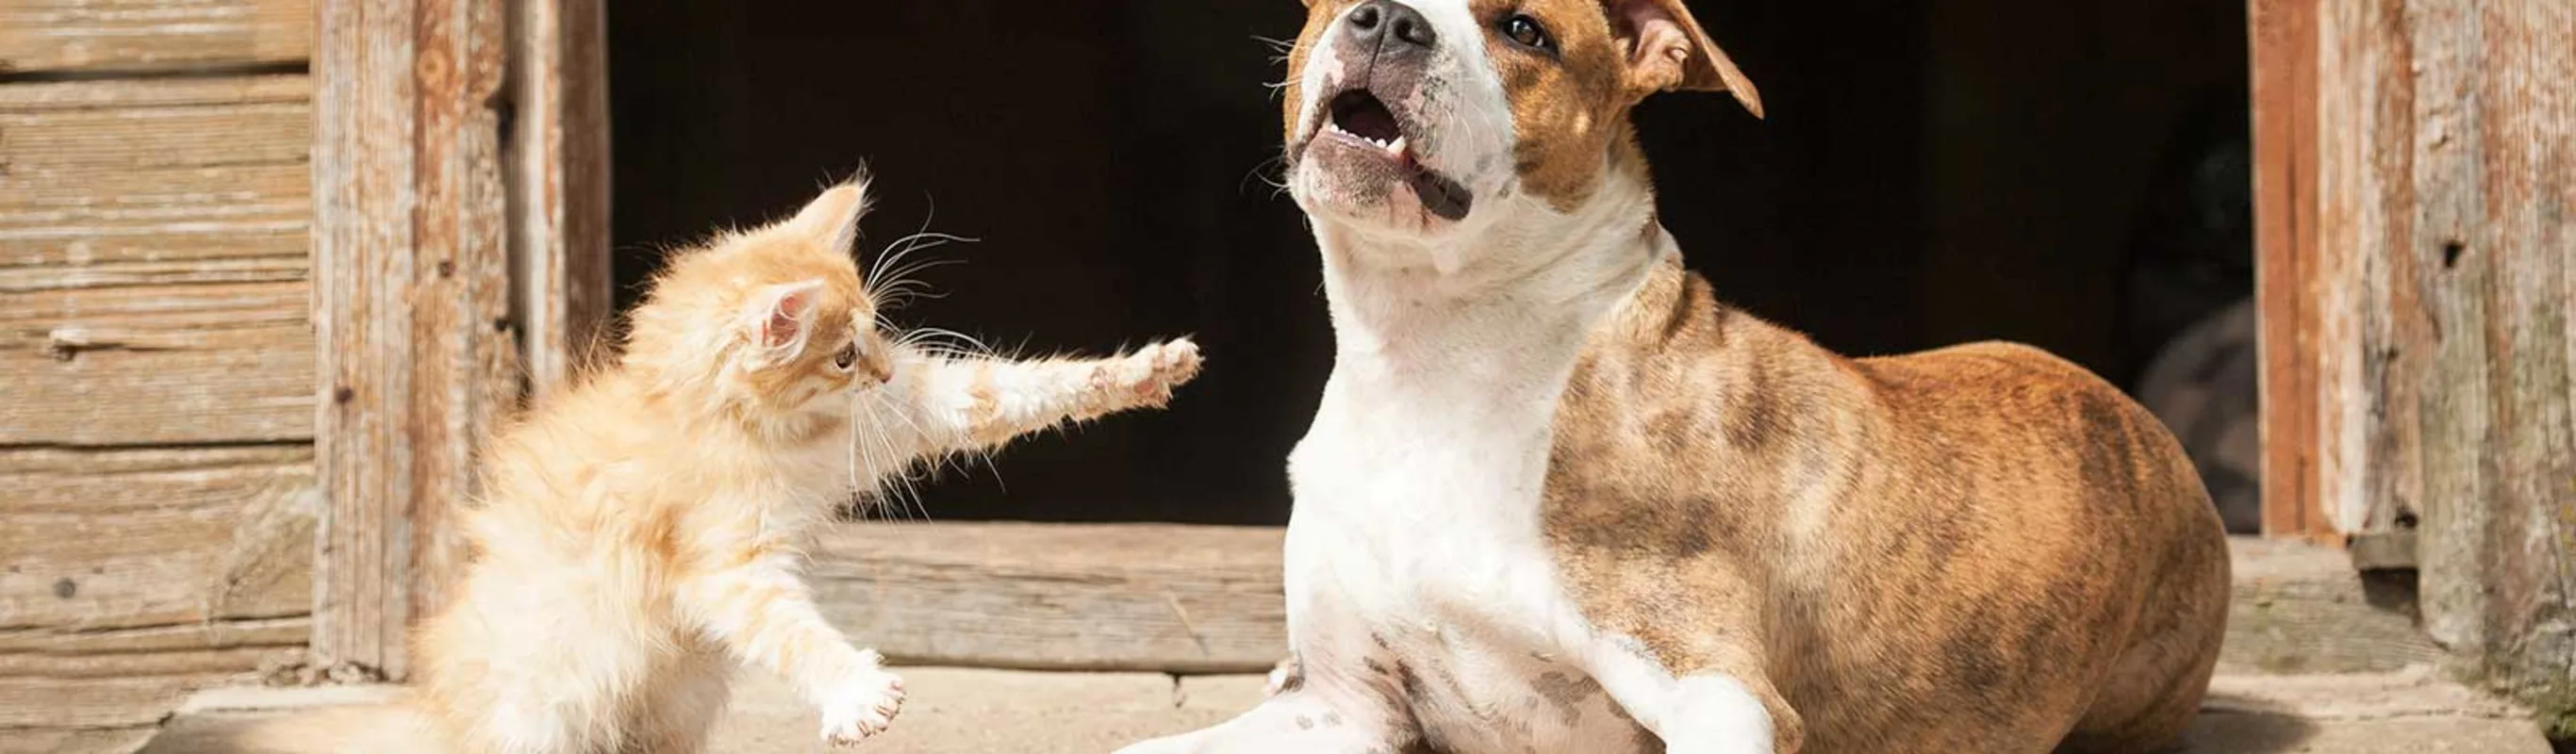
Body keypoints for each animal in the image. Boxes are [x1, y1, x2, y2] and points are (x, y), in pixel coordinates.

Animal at [216, 181, 1200, 751]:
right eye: (844, 355)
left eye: (877, 332)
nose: (882, 370)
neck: (771, 431)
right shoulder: (724, 568)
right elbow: (795, 633)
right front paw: (858, 694)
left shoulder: (905, 414)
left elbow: (1013, 389)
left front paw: (1144, 369)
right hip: (539, 715)